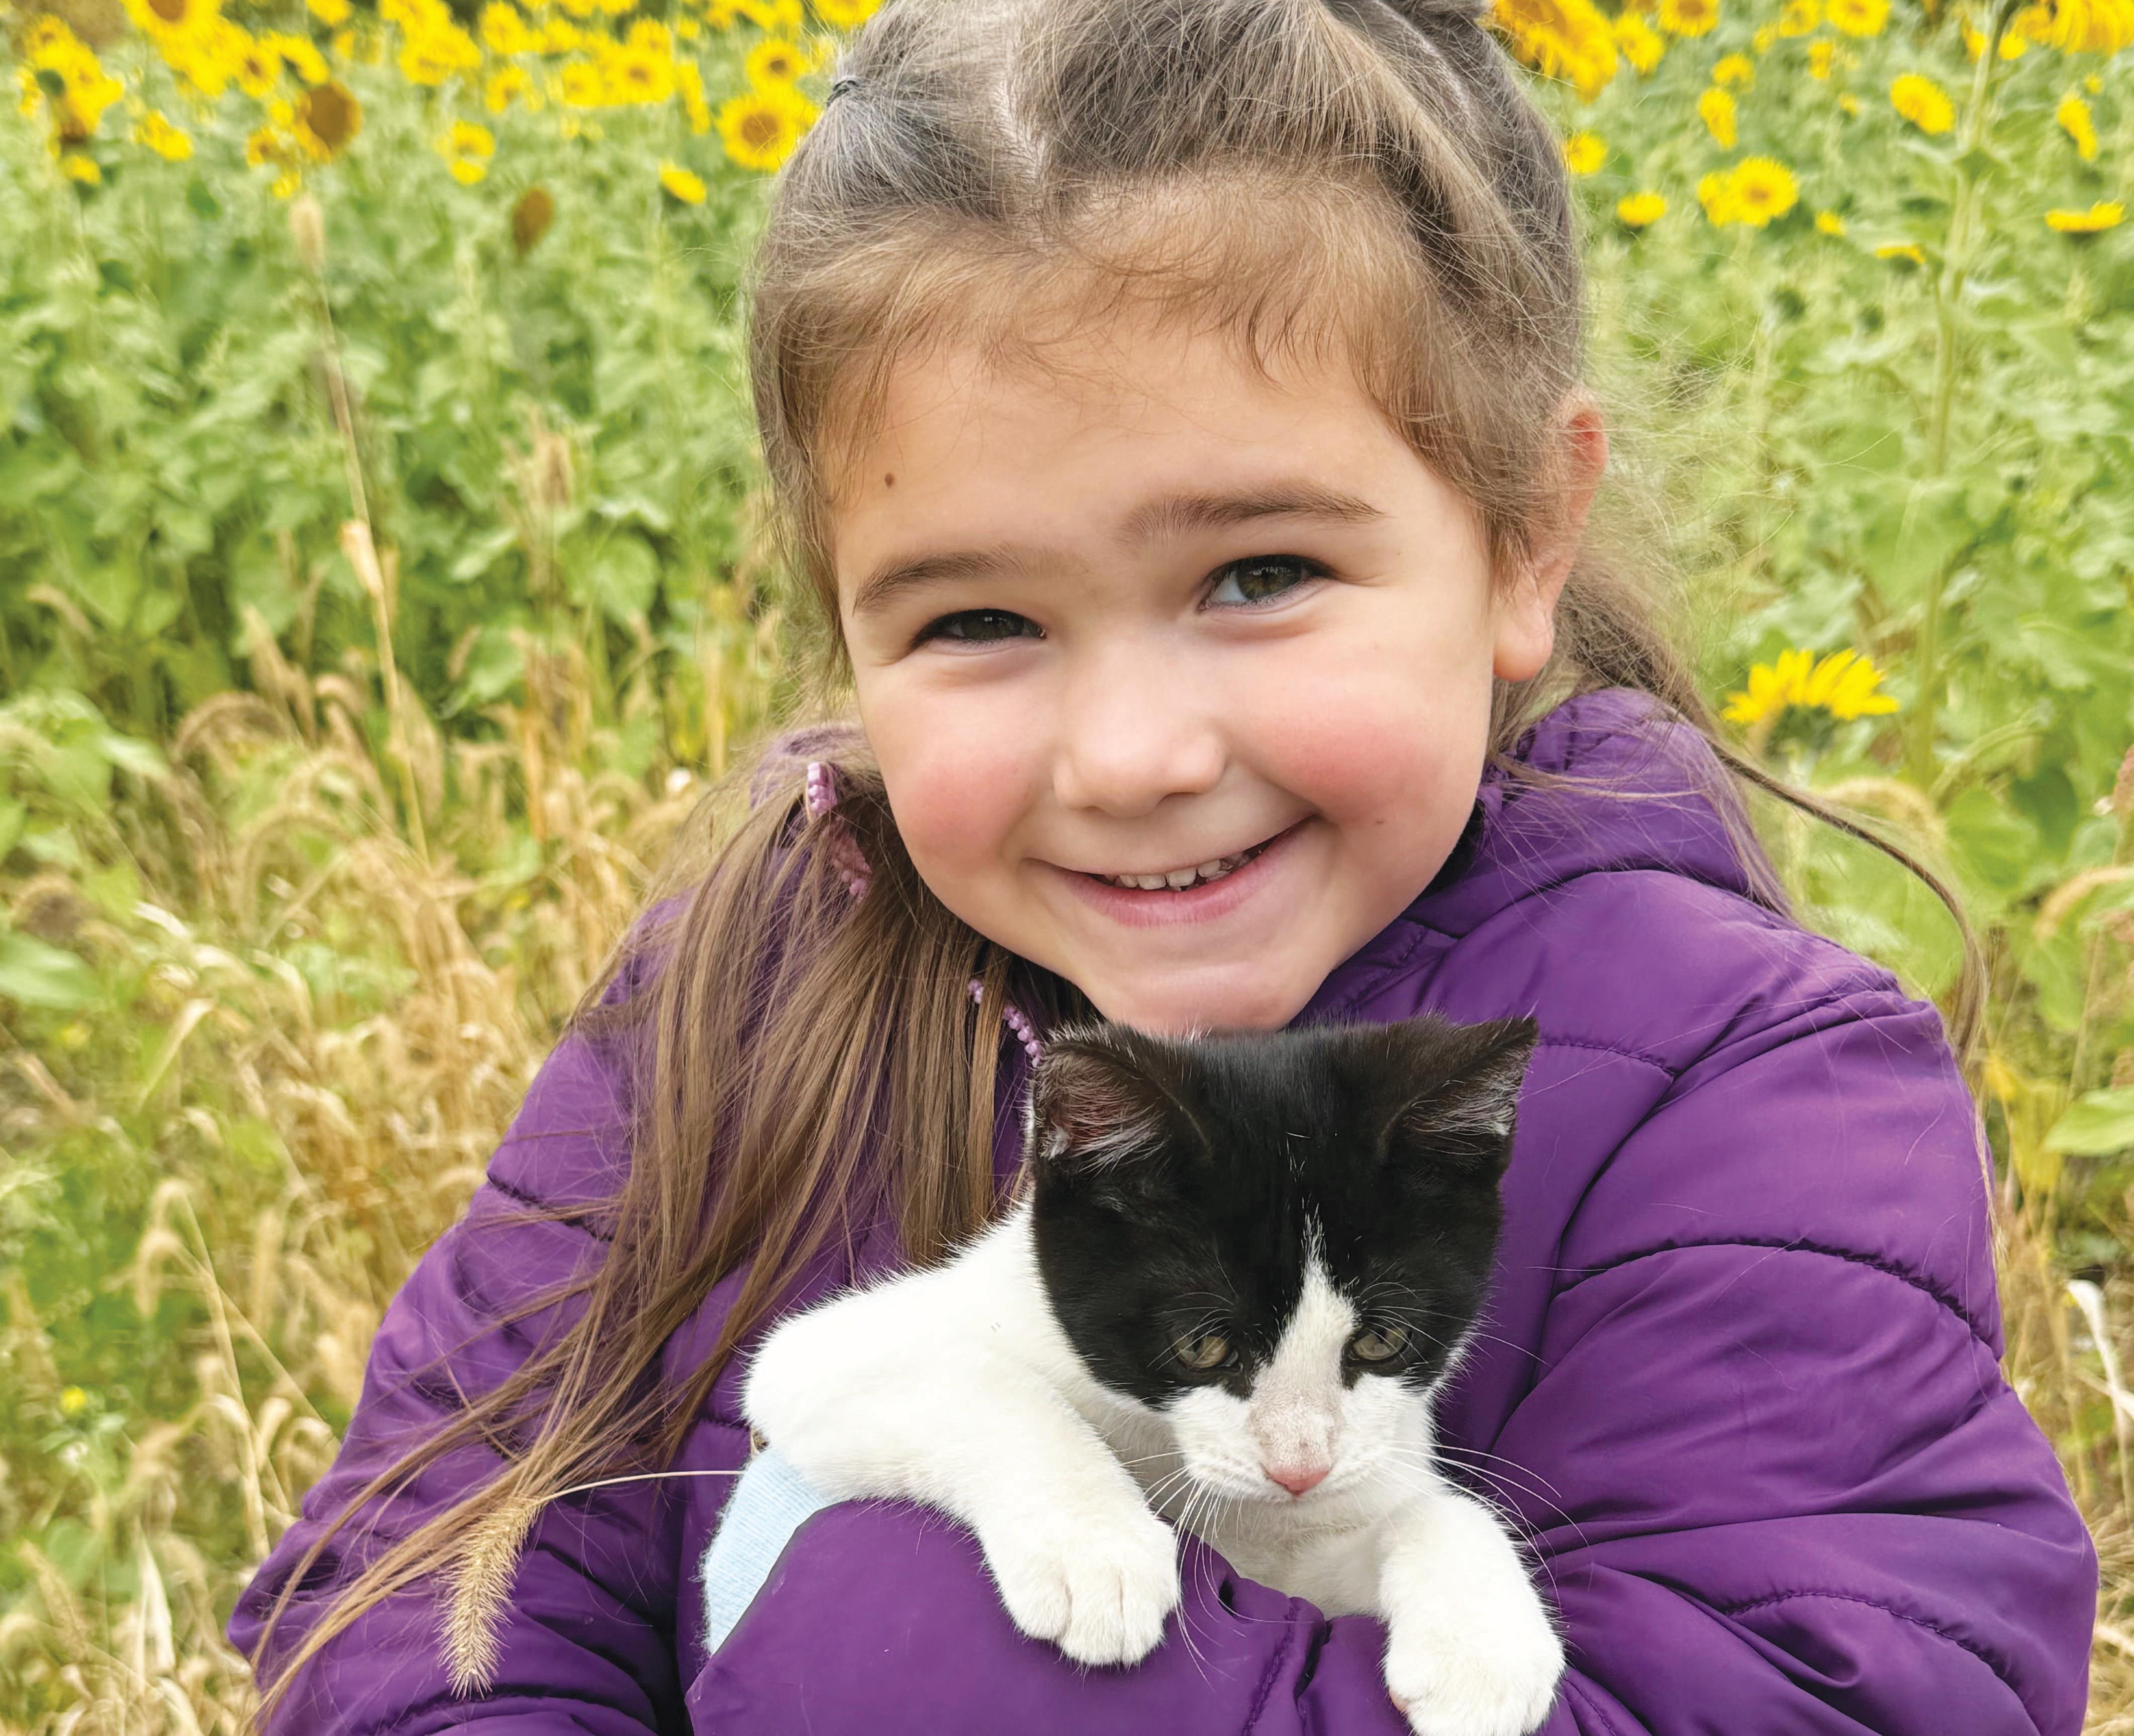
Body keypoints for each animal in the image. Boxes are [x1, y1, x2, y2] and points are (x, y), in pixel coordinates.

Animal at [740, 1013, 1564, 1736]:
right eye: (1202, 1345)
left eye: (1383, 1340)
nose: (1299, 1468)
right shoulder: (815, 1356)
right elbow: (978, 1382)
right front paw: (1094, 1549)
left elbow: (1416, 1517)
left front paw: (1484, 1647)